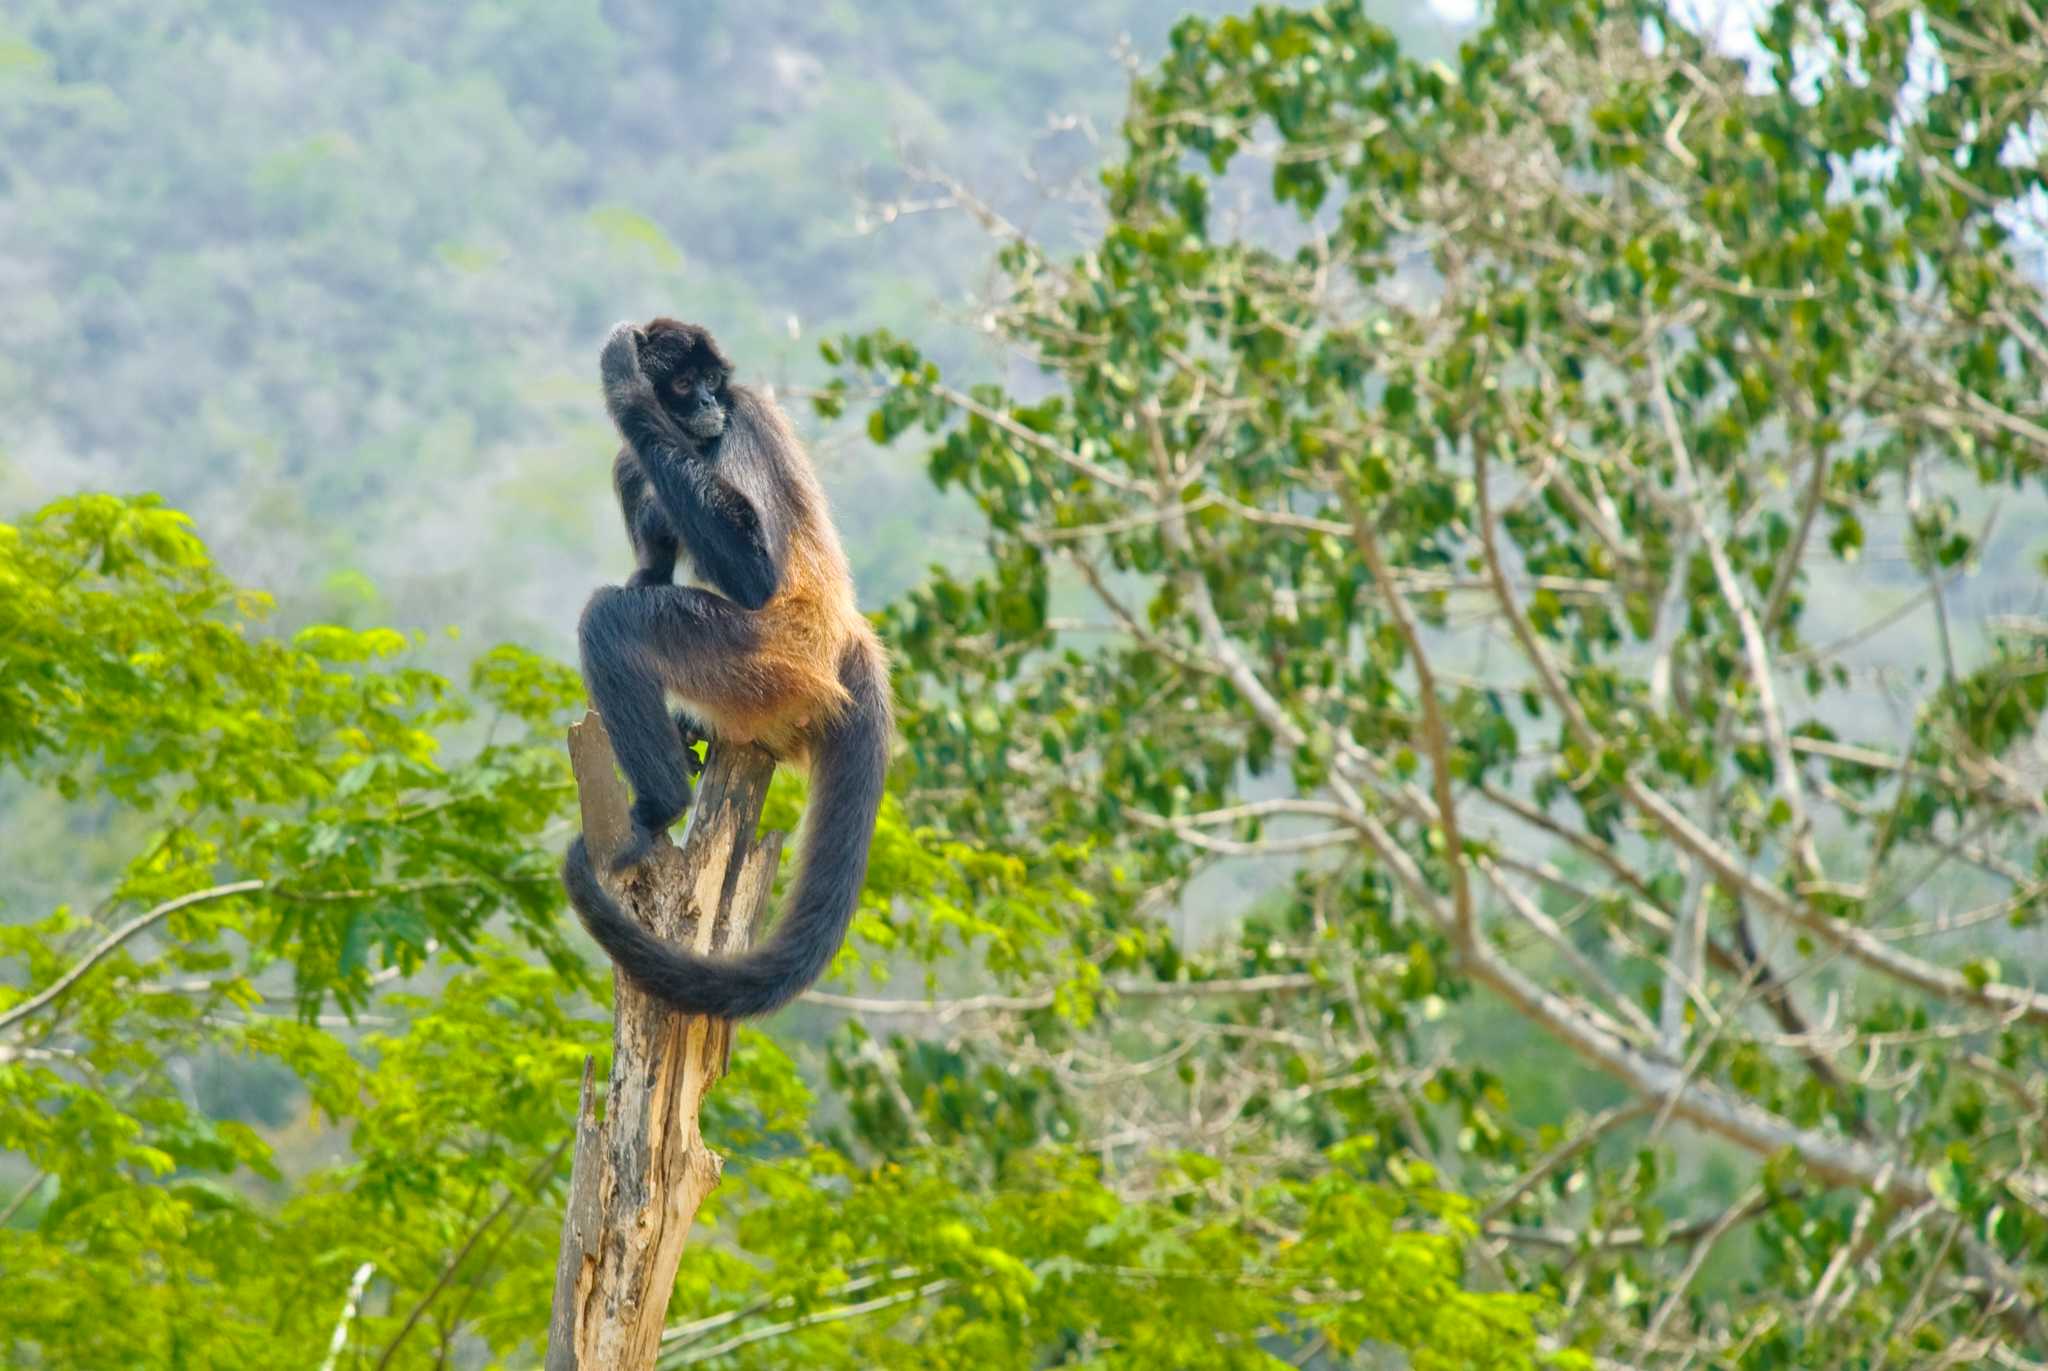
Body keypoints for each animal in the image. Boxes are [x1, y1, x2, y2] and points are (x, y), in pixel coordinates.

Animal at [561, 317, 888, 1016]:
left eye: (714, 382)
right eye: (688, 384)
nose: (710, 403)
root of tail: (843, 635)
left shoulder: (740, 423)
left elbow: (753, 576)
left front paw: (625, 386)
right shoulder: (639, 459)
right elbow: (648, 549)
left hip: (762, 660)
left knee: (609, 619)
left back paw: (661, 806)